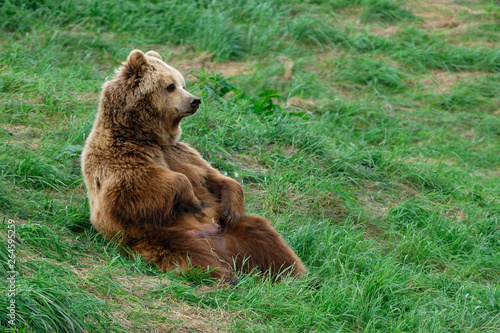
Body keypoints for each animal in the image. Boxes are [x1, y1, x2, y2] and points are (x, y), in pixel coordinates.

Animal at [82, 49, 304, 280]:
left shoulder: (180, 153)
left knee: (269, 244)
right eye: (170, 86)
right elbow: (137, 188)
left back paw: (296, 276)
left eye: (183, 84)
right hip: (166, 236)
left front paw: (231, 207)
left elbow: (212, 176)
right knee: (196, 256)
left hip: (240, 231)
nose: (195, 100)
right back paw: (225, 276)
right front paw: (193, 200)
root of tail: (226, 248)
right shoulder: (119, 158)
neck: (145, 135)